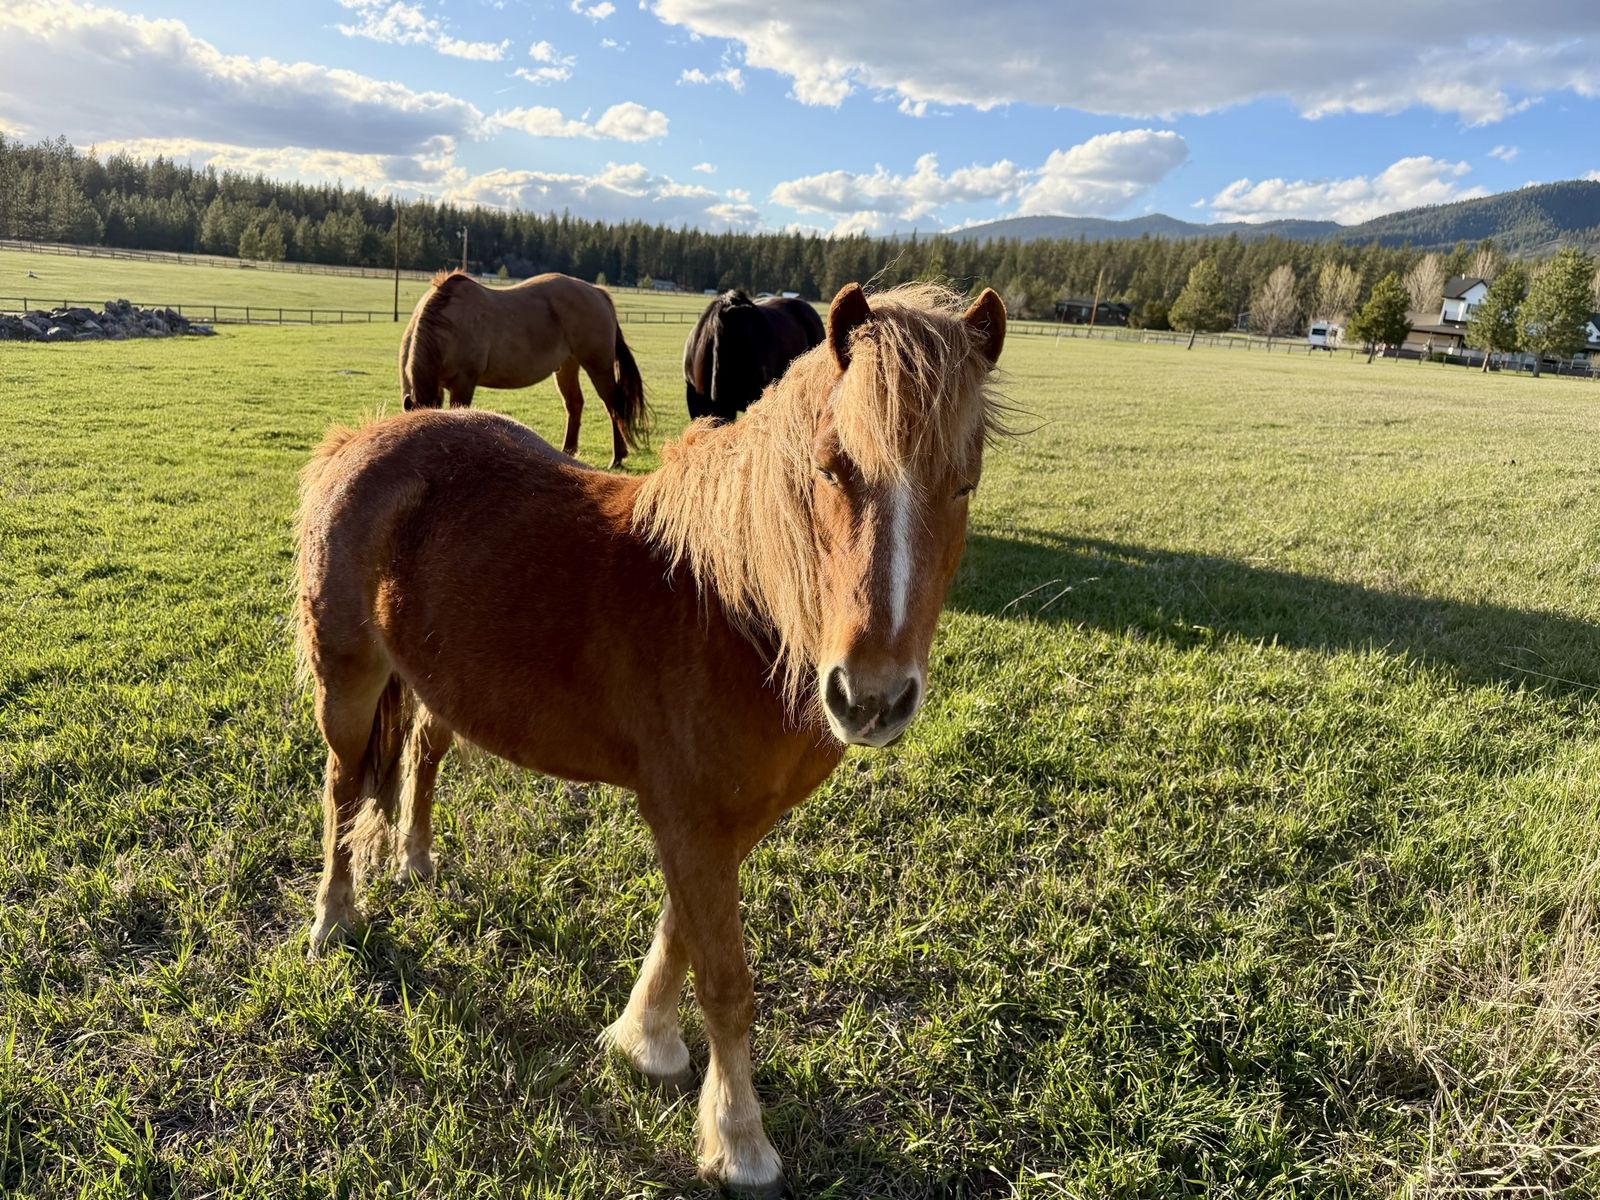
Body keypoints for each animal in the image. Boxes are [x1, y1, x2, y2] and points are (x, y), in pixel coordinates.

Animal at [399, 270, 649, 469]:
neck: (448, 324)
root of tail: (598, 292)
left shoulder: (464, 383)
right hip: (567, 366)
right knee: (575, 404)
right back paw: (568, 452)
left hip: (599, 367)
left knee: (614, 406)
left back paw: (617, 457)